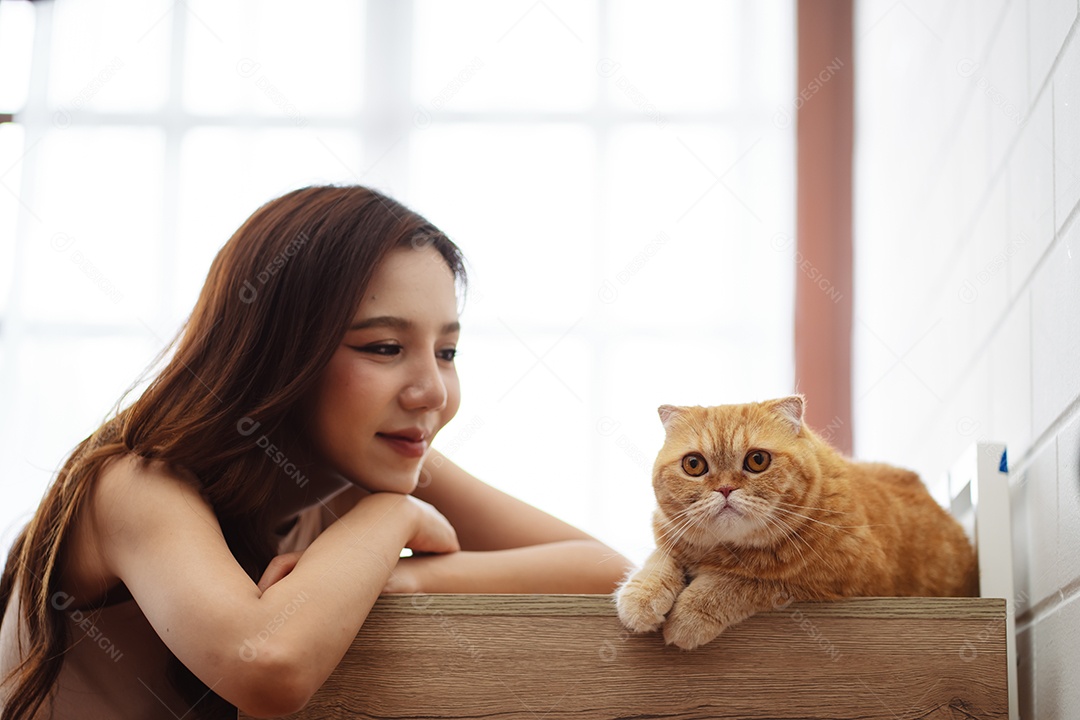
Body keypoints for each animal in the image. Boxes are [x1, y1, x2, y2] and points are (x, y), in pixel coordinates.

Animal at [617, 397, 980, 651]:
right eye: (694, 464)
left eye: (757, 460)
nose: (725, 489)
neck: (724, 552)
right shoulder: (671, 537)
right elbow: (658, 560)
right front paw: (641, 597)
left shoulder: (835, 580)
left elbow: (740, 581)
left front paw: (690, 614)